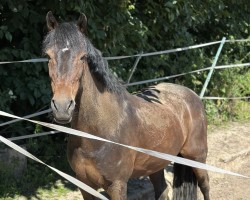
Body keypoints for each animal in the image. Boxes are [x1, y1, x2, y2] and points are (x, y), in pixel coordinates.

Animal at [44, 11, 210, 199]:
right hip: (156, 164)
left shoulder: (117, 185)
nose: (62, 107)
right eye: (48, 56)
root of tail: (192, 95)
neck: (99, 133)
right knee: (162, 190)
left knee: (205, 186)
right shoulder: (84, 185)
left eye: (82, 57)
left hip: (197, 158)